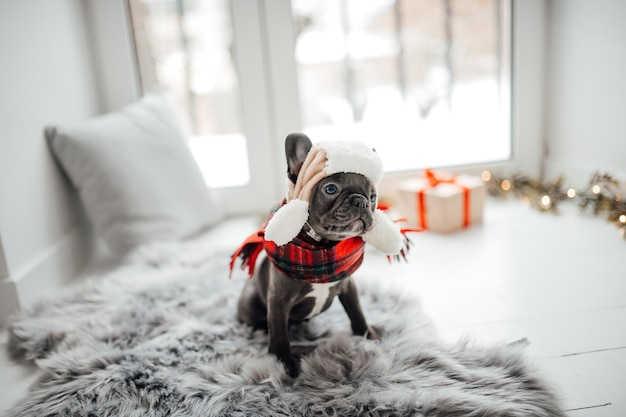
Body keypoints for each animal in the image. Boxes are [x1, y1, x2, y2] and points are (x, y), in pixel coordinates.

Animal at [236, 133, 378, 376]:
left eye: (373, 196)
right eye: (330, 189)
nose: (361, 201)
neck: (322, 248)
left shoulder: (348, 287)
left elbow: (357, 313)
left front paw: (368, 335)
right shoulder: (278, 300)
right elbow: (279, 335)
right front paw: (284, 365)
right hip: (252, 304)